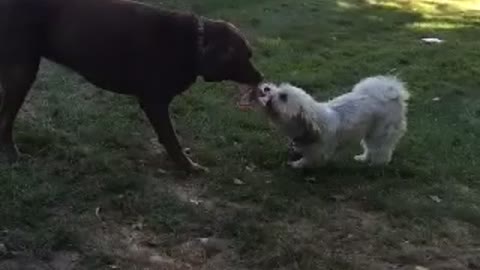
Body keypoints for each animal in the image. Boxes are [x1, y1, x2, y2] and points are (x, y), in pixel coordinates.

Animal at [0, 0, 262, 172]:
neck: (195, 44)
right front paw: (187, 166)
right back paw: (11, 154)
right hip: (22, 72)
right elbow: (171, 139)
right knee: (5, 120)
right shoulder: (155, 103)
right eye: (244, 56)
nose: (260, 77)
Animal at [256, 75, 410, 169]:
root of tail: (392, 92)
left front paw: (297, 165)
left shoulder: (318, 152)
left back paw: (376, 166)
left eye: (283, 96)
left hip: (381, 133)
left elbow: (308, 160)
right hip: (370, 133)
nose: (266, 88)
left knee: (380, 151)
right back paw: (362, 159)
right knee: (370, 149)